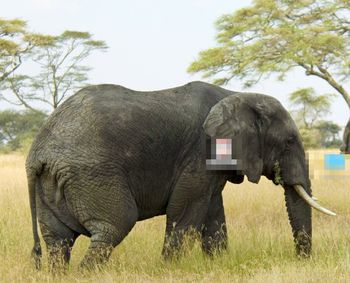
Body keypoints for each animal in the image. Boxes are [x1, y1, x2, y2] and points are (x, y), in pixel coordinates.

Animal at [26, 81, 334, 272]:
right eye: (289, 141)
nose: (301, 261)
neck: (236, 94)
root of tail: (38, 152)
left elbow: (213, 214)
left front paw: (217, 265)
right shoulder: (200, 152)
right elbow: (185, 212)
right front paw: (170, 269)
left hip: (53, 182)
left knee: (58, 242)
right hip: (92, 174)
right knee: (113, 226)